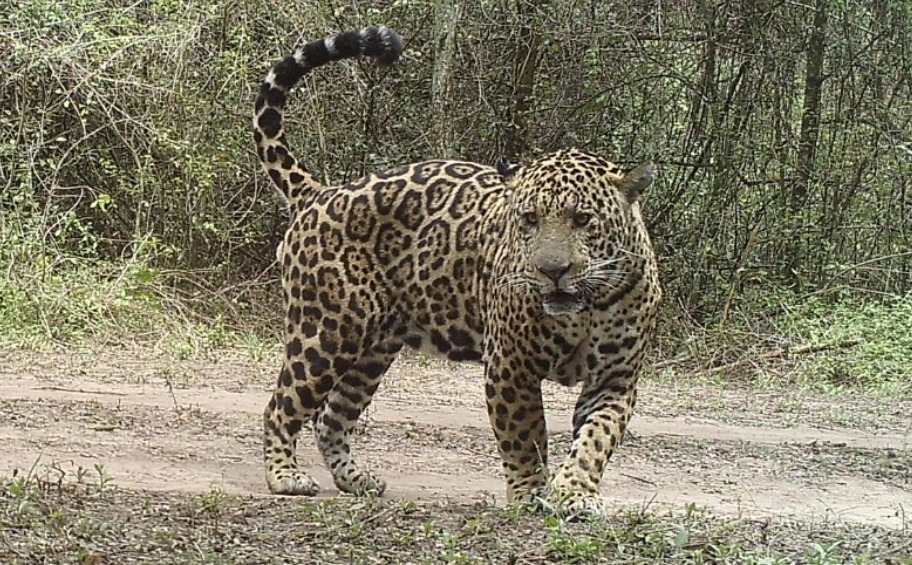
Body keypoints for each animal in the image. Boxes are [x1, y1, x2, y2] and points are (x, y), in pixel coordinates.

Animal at [252, 25, 662, 517]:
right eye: (528, 219)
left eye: (583, 219)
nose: (553, 271)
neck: (586, 309)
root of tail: (320, 191)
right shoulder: (510, 365)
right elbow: (526, 436)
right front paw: (529, 494)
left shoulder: (615, 379)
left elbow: (596, 440)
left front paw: (576, 493)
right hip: (326, 333)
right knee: (282, 406)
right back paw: (284, 477)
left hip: (374, 348)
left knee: (333, 416)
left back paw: (356, 479)